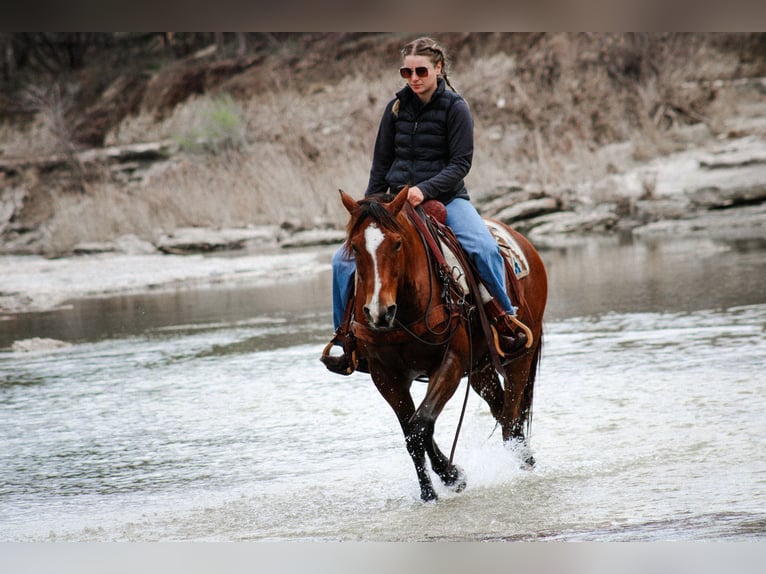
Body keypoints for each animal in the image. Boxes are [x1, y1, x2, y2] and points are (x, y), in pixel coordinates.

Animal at [340, 187, 548, 502]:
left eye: (397, 243)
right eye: (355, 246)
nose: (379, 312)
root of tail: (524, 244)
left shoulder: (451, 362)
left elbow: (421, 424)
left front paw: (452, 476)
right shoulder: (386, 376)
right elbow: (412, 431)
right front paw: (431, 491)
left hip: (521, 354)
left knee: (511, 416)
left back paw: (523, 462)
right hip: (481, 369)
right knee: (501, 410)